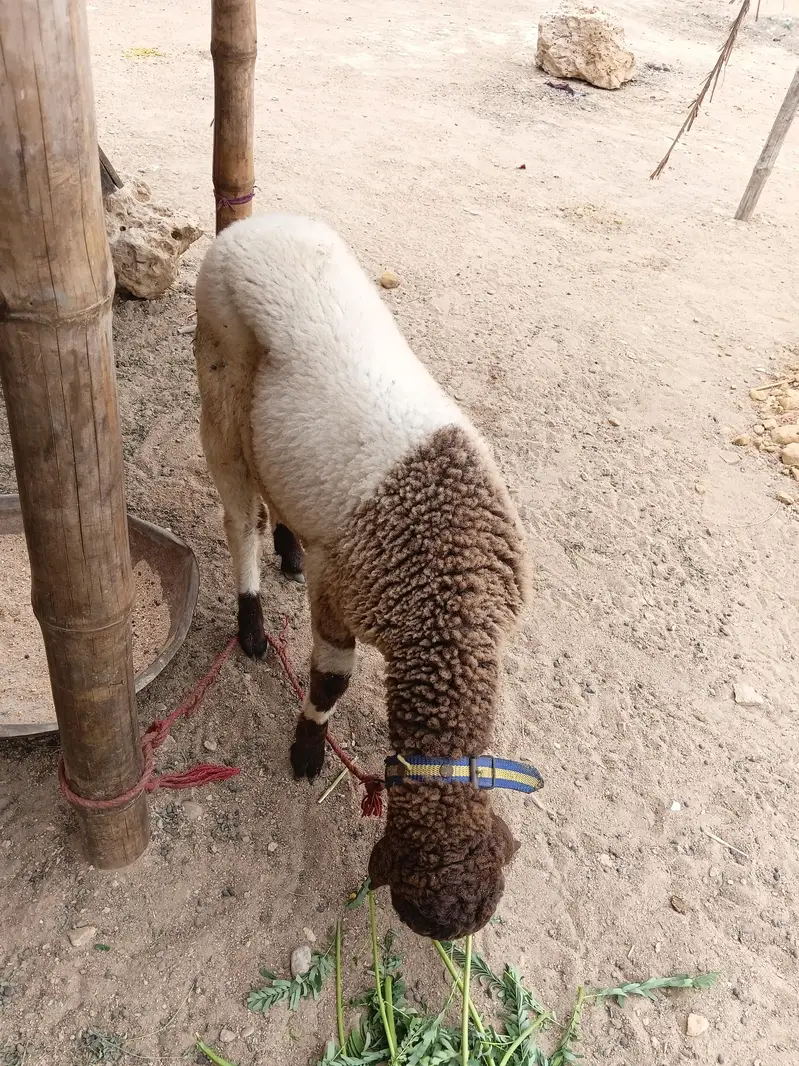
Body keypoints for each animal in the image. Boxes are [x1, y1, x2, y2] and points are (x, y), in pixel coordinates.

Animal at [193, 213, 531, 939]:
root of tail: (255, 224)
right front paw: (306, 751)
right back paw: (251, 622)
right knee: (237, 515)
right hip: (219, 381)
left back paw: (289, 549)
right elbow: (330, 681)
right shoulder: (339, 600)